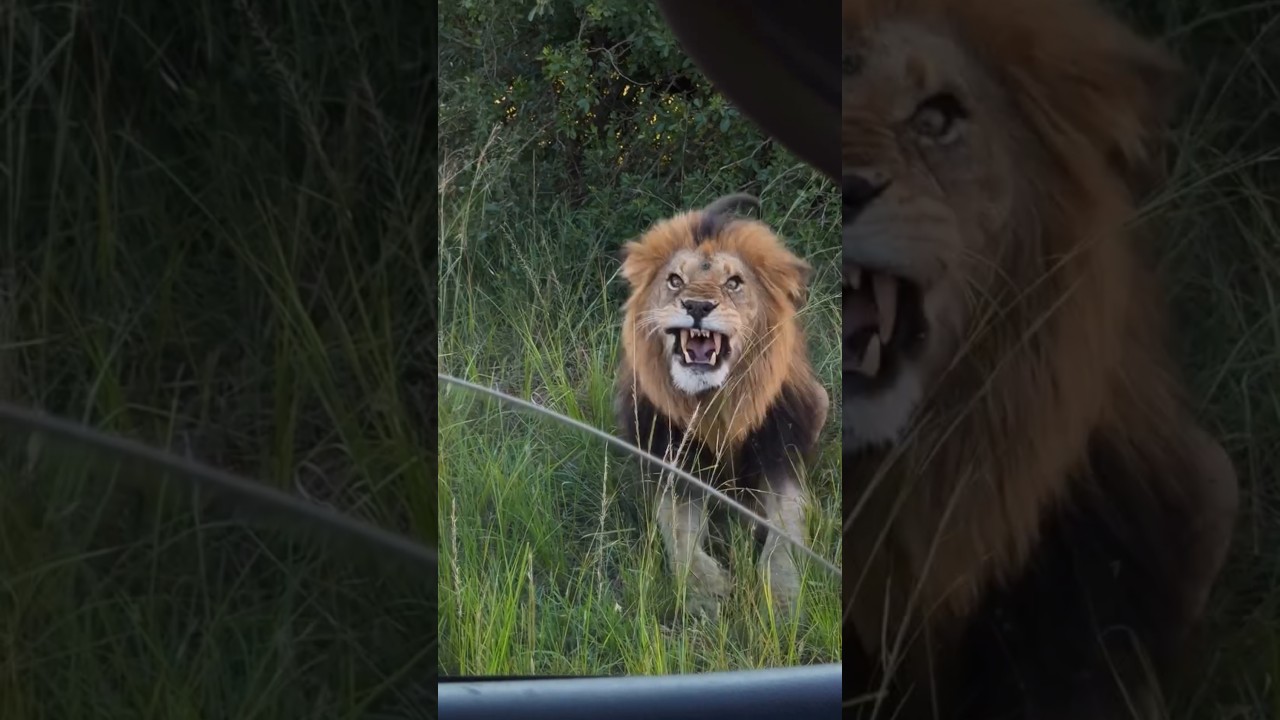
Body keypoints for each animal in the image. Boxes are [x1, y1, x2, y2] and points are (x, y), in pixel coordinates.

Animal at [613, 194, 830, 617]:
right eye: (675, 280)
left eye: (733, 283)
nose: (697, 305)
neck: (715, 406)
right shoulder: (672, 465)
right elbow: (678, 531)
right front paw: (705, 592)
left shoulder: (781, 457)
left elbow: (785, 534)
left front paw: (781, 597)